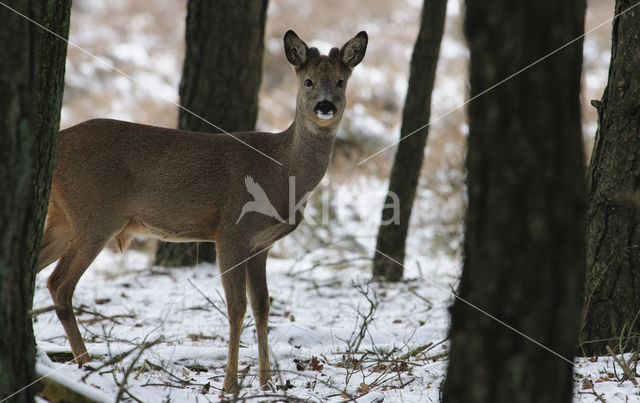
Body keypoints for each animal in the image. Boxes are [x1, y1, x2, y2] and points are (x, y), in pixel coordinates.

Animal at [38, 31, 370, 394]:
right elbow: (236, 307)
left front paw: (267, 383)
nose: (325, 105)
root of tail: (57, 143)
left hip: (63, 219)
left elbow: (263, 306)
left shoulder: (261, 244)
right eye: (308, 81)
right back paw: (87, 366)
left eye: (340, 81)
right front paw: (230, 384)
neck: (279, 170)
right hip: (95, 216)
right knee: (59, 283)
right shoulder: (231, 232)